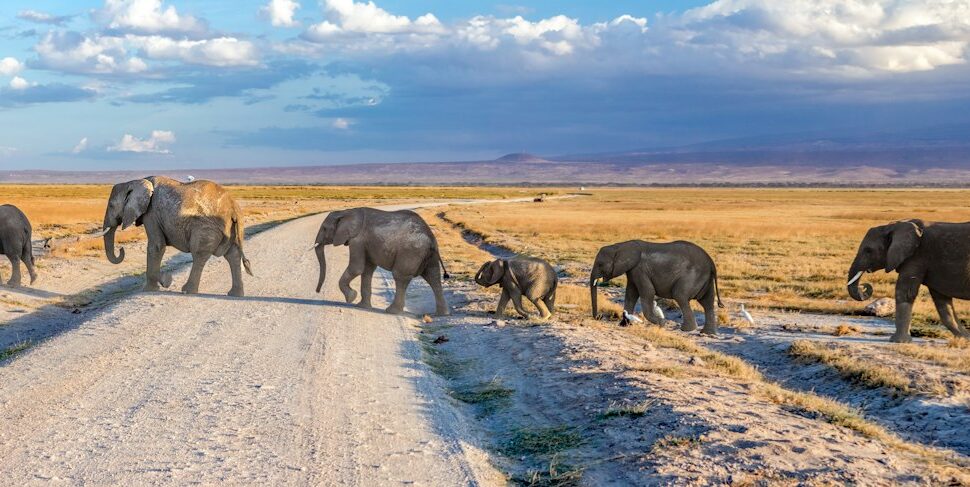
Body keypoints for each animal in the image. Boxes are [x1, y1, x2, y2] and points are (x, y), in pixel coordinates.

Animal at [102, 176, 253, 296]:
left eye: (111, 205)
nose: (121, 249)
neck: (136, 181)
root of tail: (233, 207)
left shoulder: (152, 213)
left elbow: (156, 246)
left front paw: (161, 284)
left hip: (206, 228)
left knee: (199, 254)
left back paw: (187, 291)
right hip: (233, 229)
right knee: (233, 255)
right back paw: (235, 294)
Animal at [313, 207, 450, 315]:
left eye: (324, 229)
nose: (317, 291)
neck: (346, 212)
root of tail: (431, 238)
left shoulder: (358, 240)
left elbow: (357, 268)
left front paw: (351, 298)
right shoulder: (366, 243)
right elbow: (367, 270)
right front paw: (361, 306)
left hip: (411, 252)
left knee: (401, 277)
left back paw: (392, 311)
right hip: (427, 255)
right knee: (434, 277)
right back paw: (442, 314)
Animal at [590, 240, 723, 334]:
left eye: (600, 264)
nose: (599, 317)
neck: (620, 246)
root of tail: (711, 263)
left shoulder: (640, 269)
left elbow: (647, 292)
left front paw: (661, 324)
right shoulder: (633, 271)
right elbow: (631, 294)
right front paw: (623, 325)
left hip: (692, 276)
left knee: (680, 296)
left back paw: (686, 330)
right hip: (705, 278)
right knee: (707, 303)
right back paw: (707, 333)